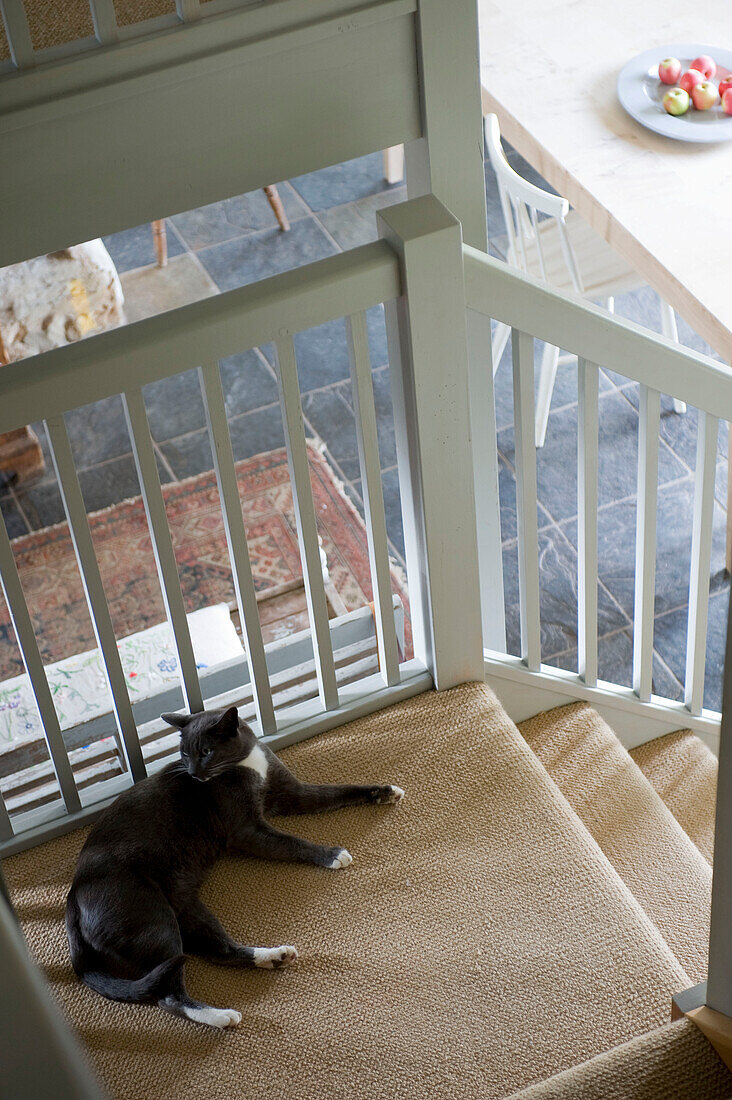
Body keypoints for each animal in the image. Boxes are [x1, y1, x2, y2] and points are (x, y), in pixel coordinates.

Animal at [65, 704, 402, 1029]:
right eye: (183, 753)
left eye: (205, 751)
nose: (193, 772)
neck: (245, 762)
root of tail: (74, 897)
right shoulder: (245, 831)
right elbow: (291, 842)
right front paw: (332, 854)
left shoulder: (292, 794)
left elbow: (336, 791)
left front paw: (384, 791)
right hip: (153, 920)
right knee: (169, 995)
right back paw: (222, 1015)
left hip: (184, 906)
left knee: (221, 953)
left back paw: (274, 957)